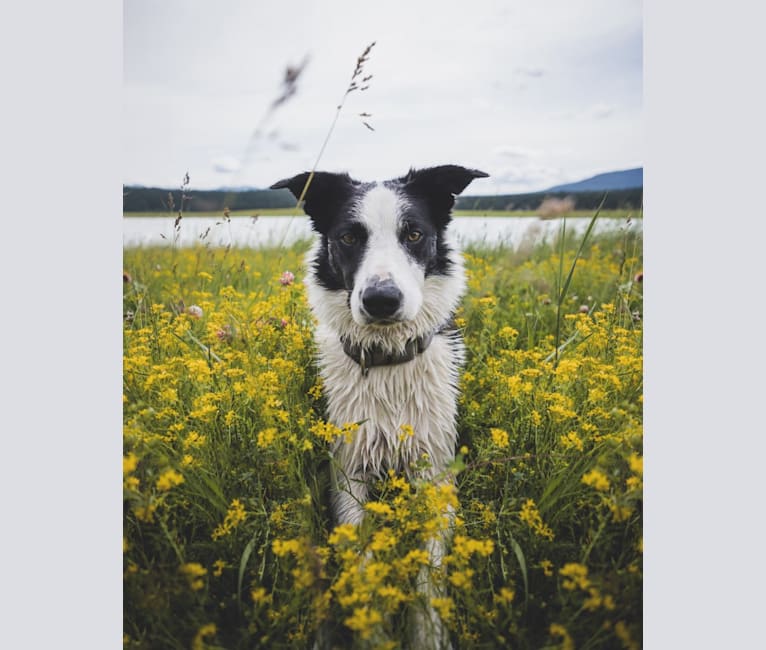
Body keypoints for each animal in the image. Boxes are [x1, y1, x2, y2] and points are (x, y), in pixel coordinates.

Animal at [272, 165, 488, 644]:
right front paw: (372, 630)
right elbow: (363, 563)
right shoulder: (347, 472)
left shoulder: (436, 467)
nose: (381, 300)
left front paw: (428, 635)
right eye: (350, 237)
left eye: (414, 234)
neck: (388, 361)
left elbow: (430, 569)